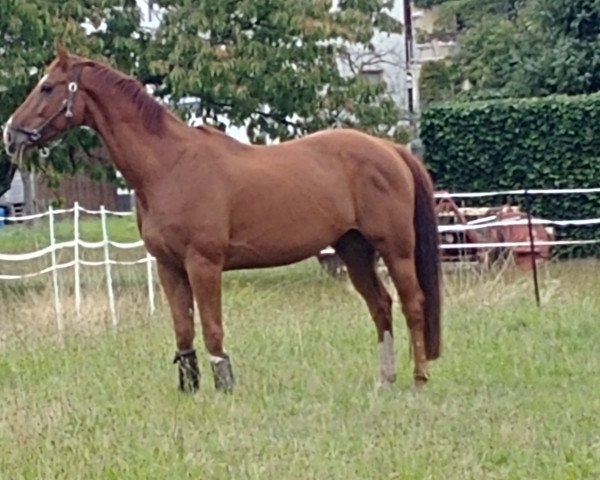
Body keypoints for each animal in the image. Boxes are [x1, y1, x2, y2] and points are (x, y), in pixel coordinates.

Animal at [1, 47, 440, 394]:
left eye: (47, 87)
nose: (10, 133)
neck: (169, 166)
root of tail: (390, 148)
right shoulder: (169, 267)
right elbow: (183, 329)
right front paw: (190, 387)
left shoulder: (203, 264)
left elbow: (212, 327)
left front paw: (224, 386)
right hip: (354, 250)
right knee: (380, 306)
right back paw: (385, 380)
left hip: (395, 249)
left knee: (412, 304)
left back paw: (419, 379)